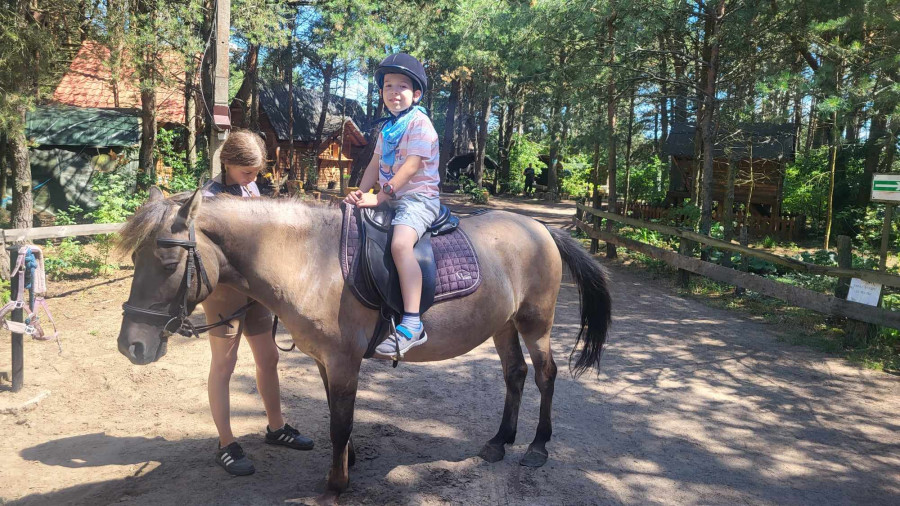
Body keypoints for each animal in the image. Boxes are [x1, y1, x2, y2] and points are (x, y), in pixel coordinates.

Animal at [116, 188, 611, 496]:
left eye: (166, 263)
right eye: (135, 259)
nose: (130, 347)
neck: (309, 260)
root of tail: (541, 229)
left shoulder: (343, 361)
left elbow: (340, 423)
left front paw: (336, 485)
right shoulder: (326, 361)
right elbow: (340, 420)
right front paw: (348, 463)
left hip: (535, 323)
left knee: (545, 375)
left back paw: (536, 448)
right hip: (503, 324)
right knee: (515, 374)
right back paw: (498, 442)